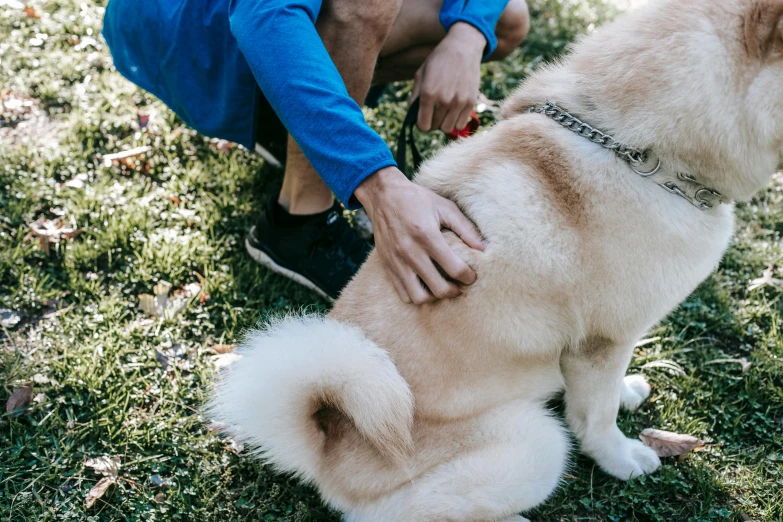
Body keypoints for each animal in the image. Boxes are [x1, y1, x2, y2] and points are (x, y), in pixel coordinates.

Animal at [207, 2, 783, 516]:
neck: (637, 152)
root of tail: (327, 444)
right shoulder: (602, 341)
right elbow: (595, 419)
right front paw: (622, 458)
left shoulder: (607, 347)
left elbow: (607, 391)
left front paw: (627, 392)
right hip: (536, 444)